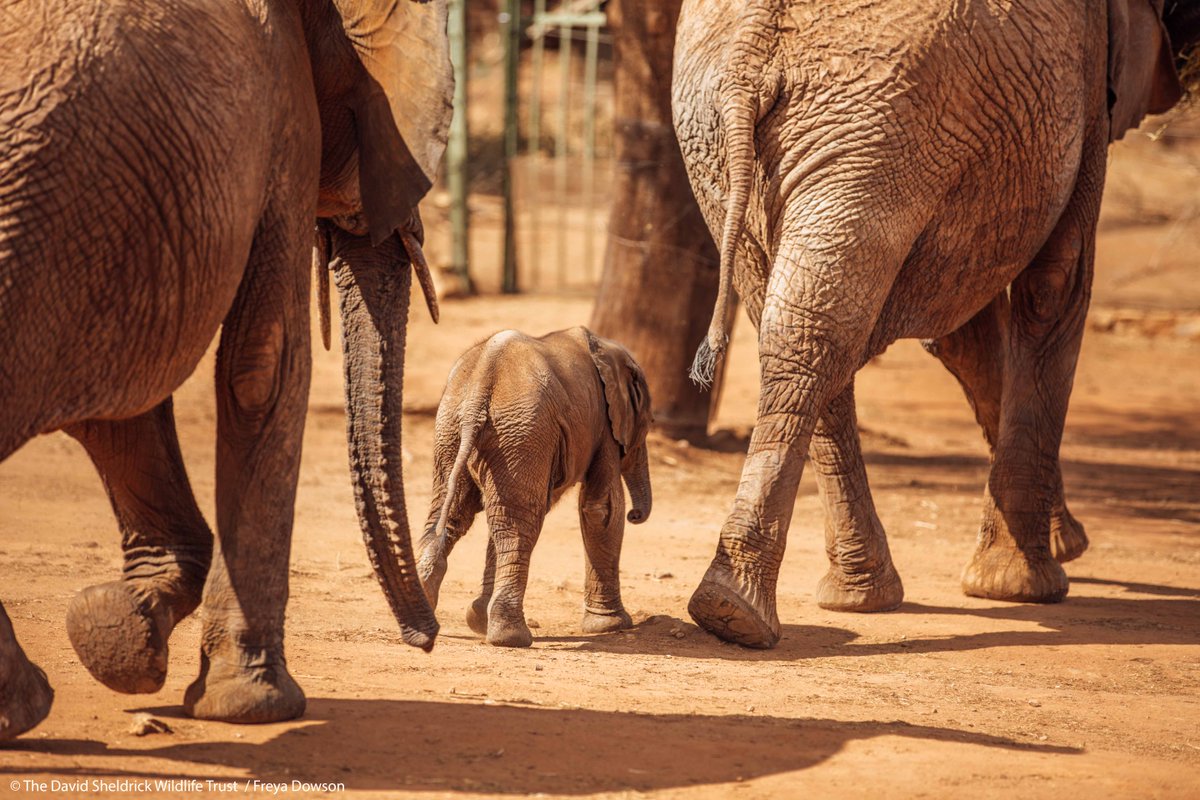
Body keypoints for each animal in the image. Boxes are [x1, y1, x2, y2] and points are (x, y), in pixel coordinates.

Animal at [0, 0, 453, 739]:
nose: (429, 638)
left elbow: (123, 406)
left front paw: (121, 632)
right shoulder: (284, 117)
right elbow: (263, 364)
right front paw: (252, 707)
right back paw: (26, 705)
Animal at [416, 327, 654, 648]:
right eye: (648, 424)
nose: (636, 515)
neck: (608, 349)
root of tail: (481, 385)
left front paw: (477, 619)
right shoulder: (603, 426)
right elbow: (602, 508)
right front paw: (612, 626)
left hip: (455, 431)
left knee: (453, 515)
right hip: (520, 433)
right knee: (519, 526)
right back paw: (512, 637)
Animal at [671, 0, 1199, 647]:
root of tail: (751, 52)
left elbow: (965, 336)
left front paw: (1056, 544)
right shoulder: (1088, 80)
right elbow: (1055, 286)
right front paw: (1026, 583)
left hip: (749, 142)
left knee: (799, 323)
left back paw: (765, 607)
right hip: (878, 130)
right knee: (822, 328)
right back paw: (753, 611)